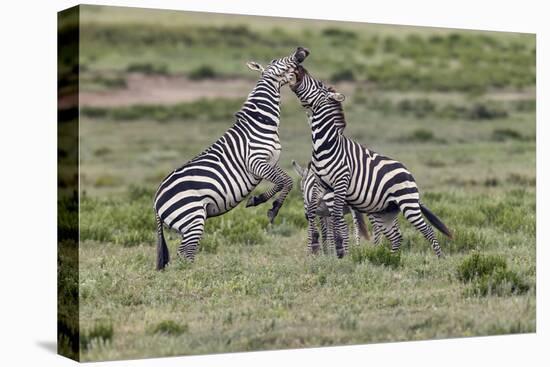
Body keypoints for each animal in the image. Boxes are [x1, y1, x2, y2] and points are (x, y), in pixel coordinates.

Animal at [154, 47, 310, 268]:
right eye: (276, 61)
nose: (301, 50)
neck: (260, 121)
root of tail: (156, 203)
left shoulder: (269, 162)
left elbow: (282, 181)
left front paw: (257, 200)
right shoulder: (255, 162)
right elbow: (286, 181)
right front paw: (271, 208)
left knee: (185, 253)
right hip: (192, 218)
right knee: (185, 253)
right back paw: (195, 274)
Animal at [288, 64, 452, 258]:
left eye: (319, 84)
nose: (300, 67)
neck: (326, 144)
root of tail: (407, 172)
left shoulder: (340, 183)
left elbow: (336, 217)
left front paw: (340, 252)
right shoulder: (321, 184)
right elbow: (315, 211)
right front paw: (316, 247)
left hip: (407, 203)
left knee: (427, 231)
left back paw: (439, 258)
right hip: (385, 211)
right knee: (396, 236)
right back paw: (390, 258)